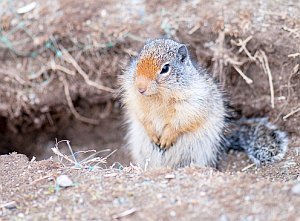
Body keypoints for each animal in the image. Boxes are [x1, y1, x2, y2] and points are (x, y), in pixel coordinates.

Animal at [120, 38, 290, 168]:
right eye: (137, 62)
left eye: (165, 68)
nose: (140, 88)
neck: (158, 97)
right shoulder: (135, 100)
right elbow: (142, 117)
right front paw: (153, 134)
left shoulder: (191, 104)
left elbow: (181, 122)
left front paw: (166, 137)